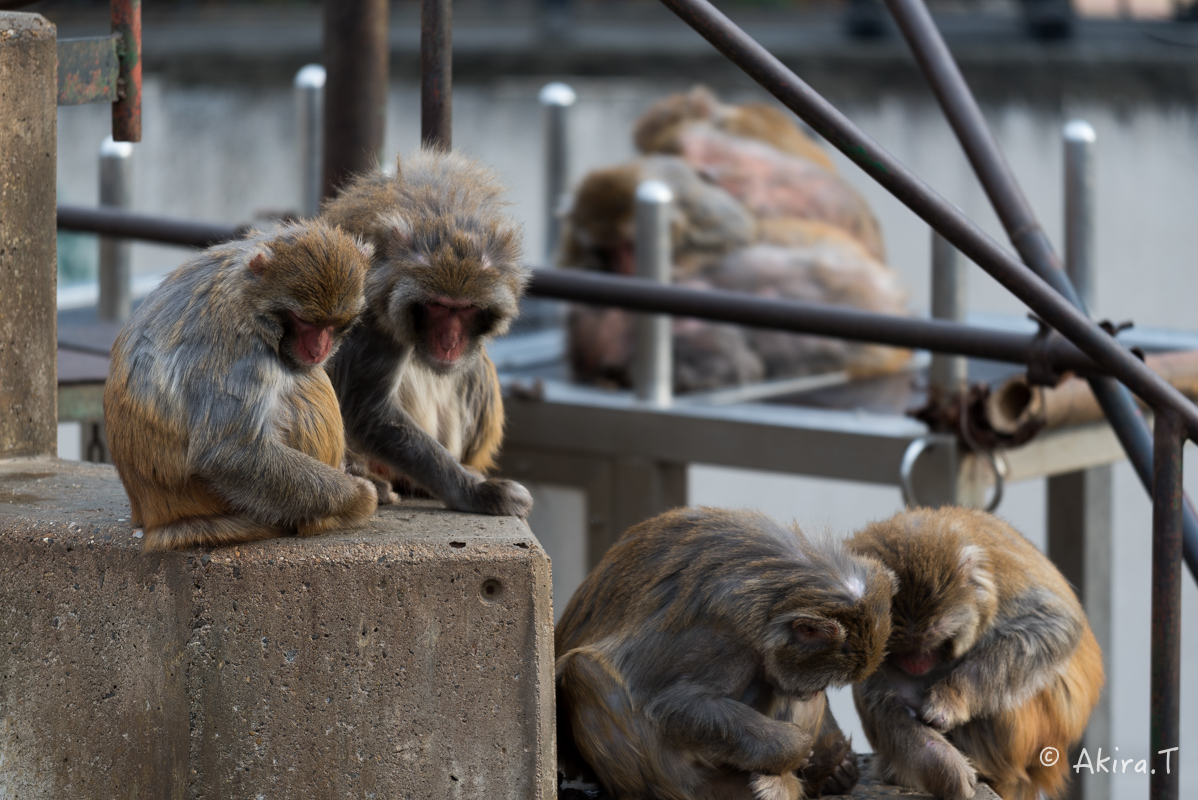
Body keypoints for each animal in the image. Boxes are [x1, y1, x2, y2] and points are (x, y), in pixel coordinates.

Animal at [107, 221, 380, 553]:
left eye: (330, 324)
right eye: (303, 321)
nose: (318, 350)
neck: (247, 292)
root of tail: (157, 519)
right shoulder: (241, 347)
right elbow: (228, 454)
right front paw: (359, 496)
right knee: (304, 378)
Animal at [323, 149, 539, 519]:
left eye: (466, 308)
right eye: (437, 305)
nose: (449, 342)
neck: (442, 214)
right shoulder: (372, 305)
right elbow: (369, 411)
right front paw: (476, 493)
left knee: (474, 368)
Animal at [555, 510, 896, 795]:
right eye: (826, 679)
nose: (815, 691)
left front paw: (836, 767)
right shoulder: (721, 632)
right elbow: (676, 702)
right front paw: (796, 748)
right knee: (584, 671)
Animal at [848, 510, 1097, 795]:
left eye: (932, 639)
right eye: (898, 646)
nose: (916, 664)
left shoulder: (1005, 585)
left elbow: (1053, 626)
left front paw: (950, 698)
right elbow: (887, 703)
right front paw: (942, 763)